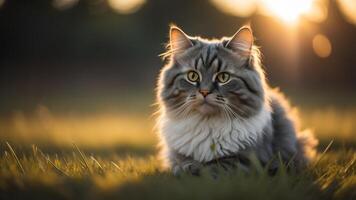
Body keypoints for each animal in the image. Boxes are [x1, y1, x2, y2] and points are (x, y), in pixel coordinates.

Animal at [156, 25, 318, 175]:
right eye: (192, 76)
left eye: (223, 77)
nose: (204, 92)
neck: (208, 124)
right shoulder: (175, 154)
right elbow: (181, 162)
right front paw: (186, 167)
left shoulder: (249, 159)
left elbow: (216, 167)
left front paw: (197, 170)